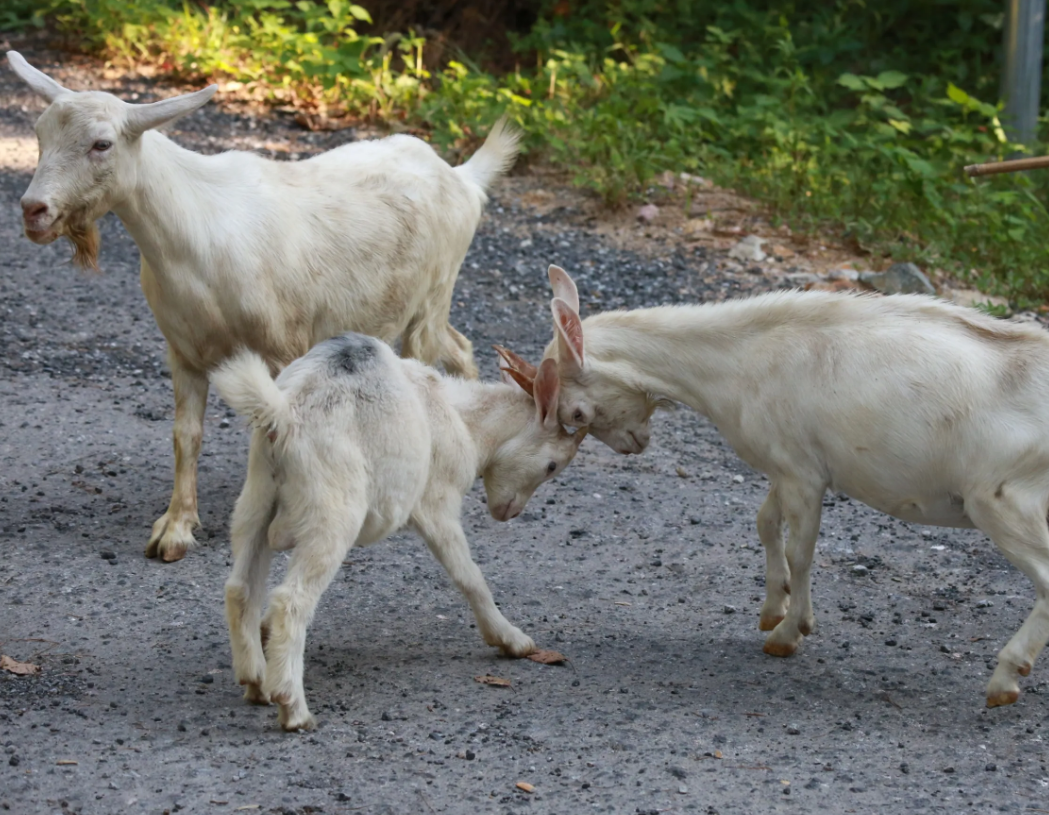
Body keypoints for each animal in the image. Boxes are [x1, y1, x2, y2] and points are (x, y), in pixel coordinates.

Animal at [6, 49, 518, 558]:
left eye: (102, 144)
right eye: (40, 134)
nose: (34, 211)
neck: (197, 234)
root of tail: (462, 178)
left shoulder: (281, 346)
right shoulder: (185, 351)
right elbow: (185, 435)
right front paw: (176, 528)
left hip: (432, 296)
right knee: (460, 346)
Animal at [503, 262, 1049, 704]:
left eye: (576, 412)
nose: (631, 446)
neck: (739, 359)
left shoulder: (804, 472)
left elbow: (801, 550)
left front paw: (789, 633)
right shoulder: (785, 464)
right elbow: (766, 523)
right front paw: (772, 607)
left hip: (1002, 500)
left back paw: (1005, 679)